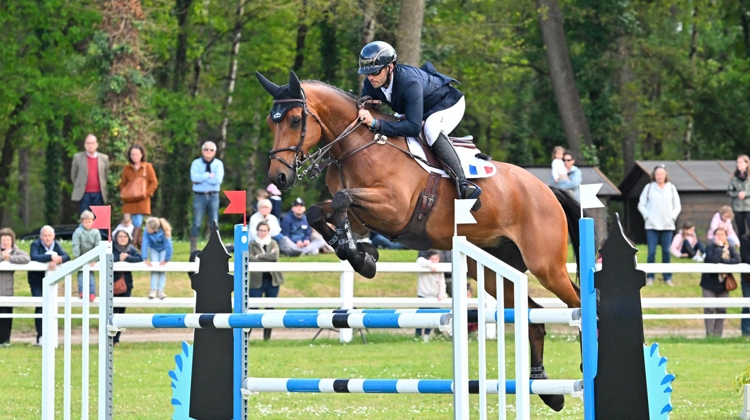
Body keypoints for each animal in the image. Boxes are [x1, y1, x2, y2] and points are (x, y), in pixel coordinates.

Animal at [258, 70, 588, 412]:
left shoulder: (393, 209)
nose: (278, 178)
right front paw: (361, 255)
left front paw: (357, 253)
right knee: (534, 317)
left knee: (577, 302)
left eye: (295, 120)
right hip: (492, 270)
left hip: (545, 265)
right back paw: (547, 389)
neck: (357, 146)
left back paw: (582, 368)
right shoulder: (363, 217)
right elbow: (319, 212)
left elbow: (342, 199)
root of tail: (547, 190)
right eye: (271, 122)